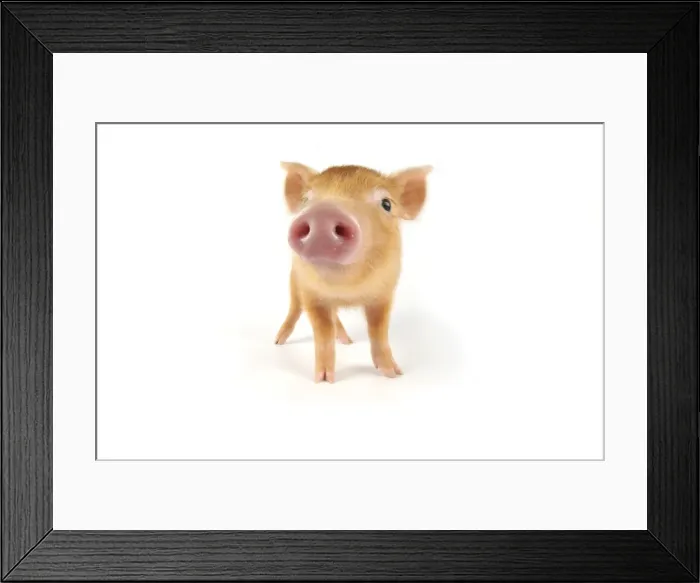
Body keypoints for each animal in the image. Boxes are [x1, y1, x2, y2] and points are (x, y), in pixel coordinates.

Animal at [274, 162, 432, 383]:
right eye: (305, 201)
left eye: (386, 204)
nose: (324, 212)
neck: (348, 291)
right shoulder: (311, 295)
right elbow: (323, 333)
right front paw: (324, 380)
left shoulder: (384, 293)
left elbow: (378, 331)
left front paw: (394, 374)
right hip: (294, 284)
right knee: (295, 311)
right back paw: (278, 341)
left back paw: (347, 341)